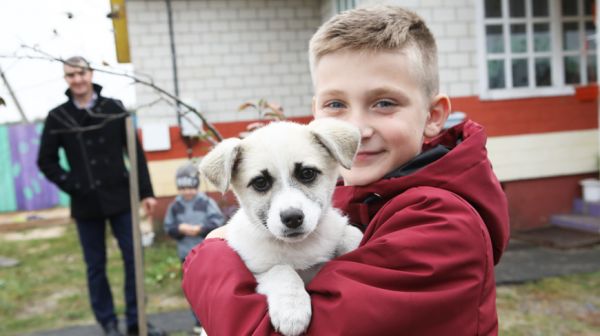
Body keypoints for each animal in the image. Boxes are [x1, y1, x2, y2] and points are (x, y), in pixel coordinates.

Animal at [199, 119, 364, 336]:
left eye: (307, 173)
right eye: (260, 182)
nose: (292, 218)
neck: (298, 246)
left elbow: (352, 232)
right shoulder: (256, 272)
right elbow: (282, 270)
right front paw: (292, 311)